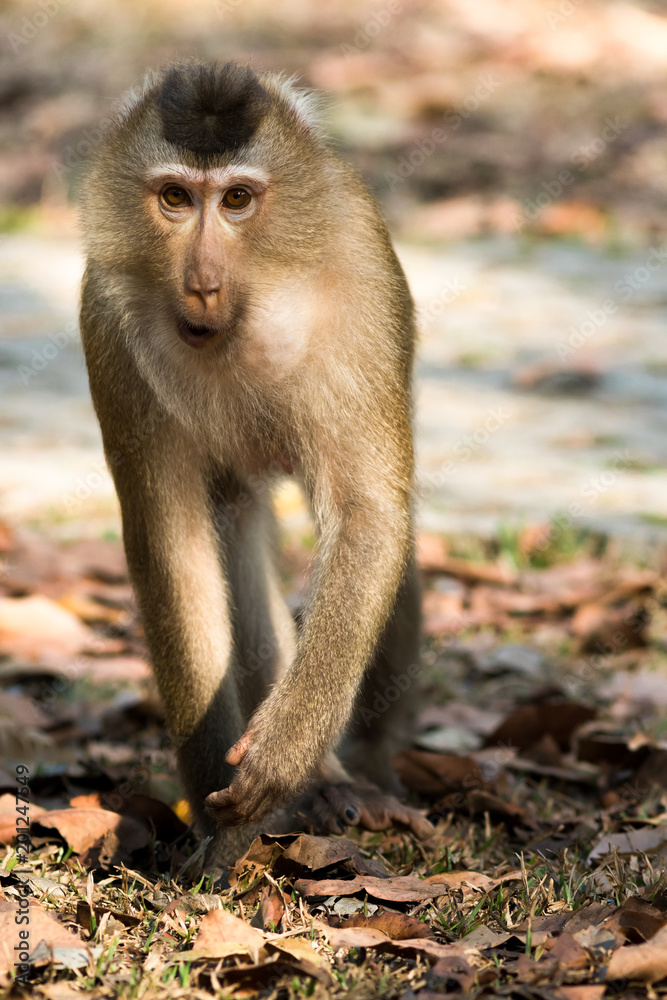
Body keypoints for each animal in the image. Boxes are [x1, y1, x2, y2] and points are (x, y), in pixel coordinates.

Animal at [79, 60, 434, 863]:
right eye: (176, 199)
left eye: (237, 200)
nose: (203, 283)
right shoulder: (108, 320)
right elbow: (173, 540)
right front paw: (219, 821)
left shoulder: (362, 288)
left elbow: (368, 518)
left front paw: (284, 754)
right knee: (234, 521)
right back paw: (322, 788)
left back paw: (363, 765)